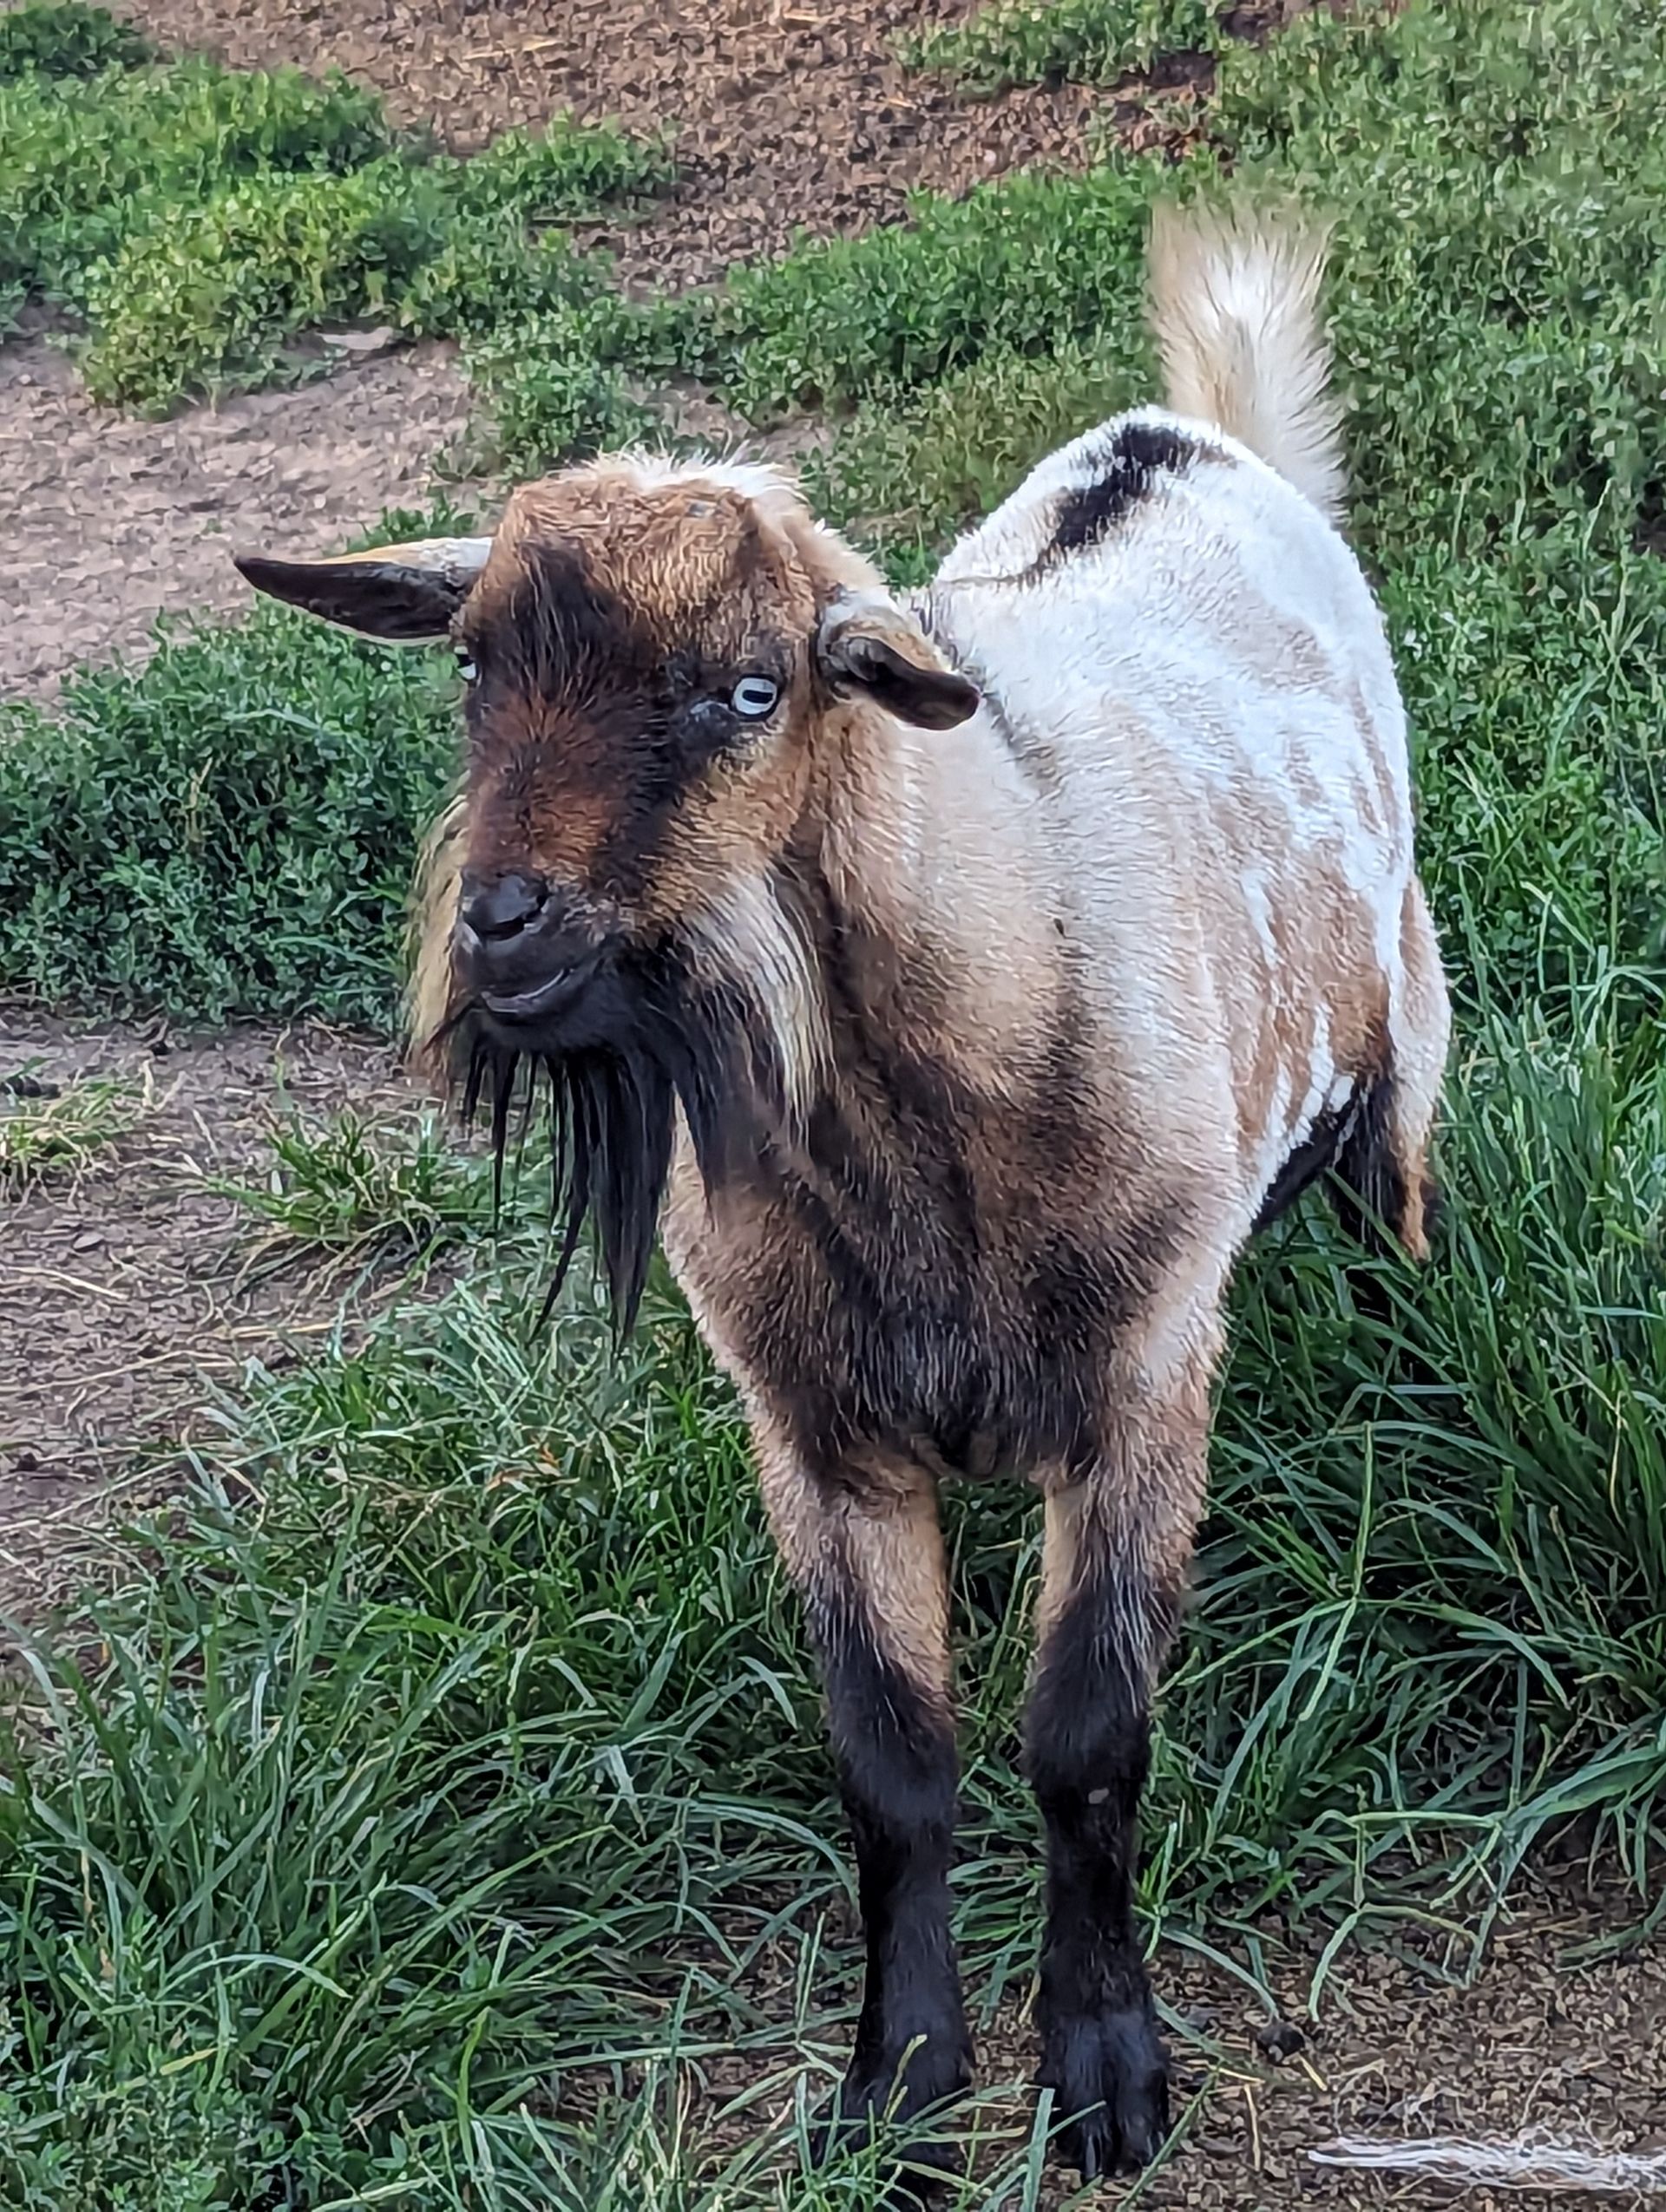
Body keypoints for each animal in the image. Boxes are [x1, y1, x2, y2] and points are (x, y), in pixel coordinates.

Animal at [235, 200, 1451, 2189]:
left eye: (751, 691)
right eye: (473, 667)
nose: (506, 935)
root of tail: (1189, 439)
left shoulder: (1139, 1395)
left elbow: (1084, 1744)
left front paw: (1104, 2079)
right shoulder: (815, 1429)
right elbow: (891, 1762)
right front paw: (899, 2087)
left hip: (1406, 1037)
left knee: (1398, 1207)